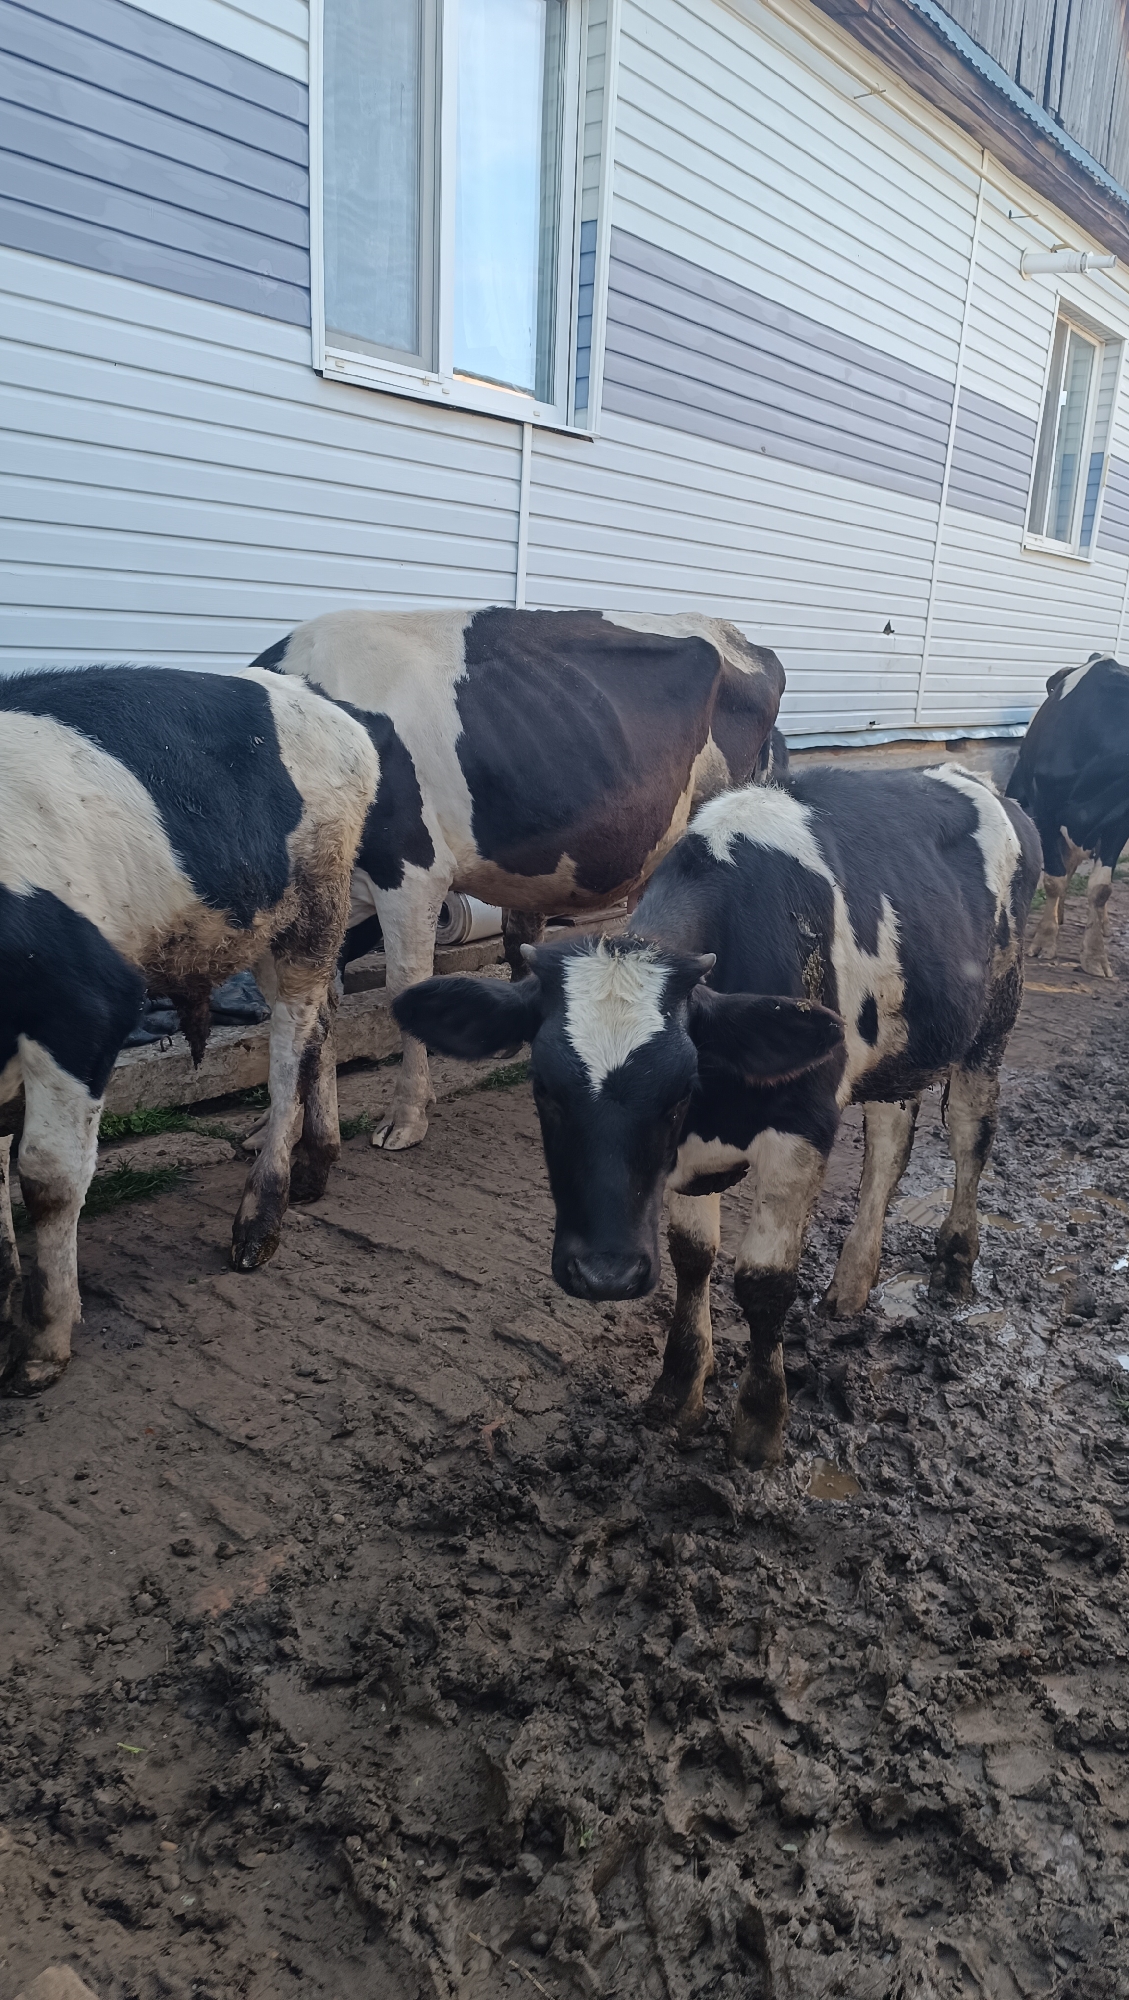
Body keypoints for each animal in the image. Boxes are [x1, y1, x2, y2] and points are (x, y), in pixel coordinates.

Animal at [0, 666, 377, 1393]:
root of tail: (311, 694)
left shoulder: (87, 1004)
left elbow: (46, 1176)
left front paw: (43, 1341)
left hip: (314, 902)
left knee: (290, 1047)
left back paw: (259, 1222)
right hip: (267, 922)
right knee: (323, 1020)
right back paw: (317, 1166)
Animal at [247, 607, 784, 1150]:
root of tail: (737, 635)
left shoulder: (412, 869)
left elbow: (404, 984)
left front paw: (406, 1116)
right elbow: (308, 1003)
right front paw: (277, 1127)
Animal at [394, 766, 1041, 1468]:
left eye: (680, 1088)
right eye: (543, 1088)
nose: (604, 1274)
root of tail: (974, 778)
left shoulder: (802, 1125)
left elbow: (763, 1280)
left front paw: (759, 1424)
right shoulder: (686, 1159)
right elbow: (692, 1257)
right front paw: (678, 1387)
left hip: (993, 1019)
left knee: (970, 1134)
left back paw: (953, 1267)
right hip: (901, 1049)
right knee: (890, 1145)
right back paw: (850, 1286)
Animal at [1006, 654, 1129, 978]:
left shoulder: (1119, 821)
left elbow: (1101, 889)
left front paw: (1095, 954)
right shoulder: (1044, 810)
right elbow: (1054, 879)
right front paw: (1044, 940)